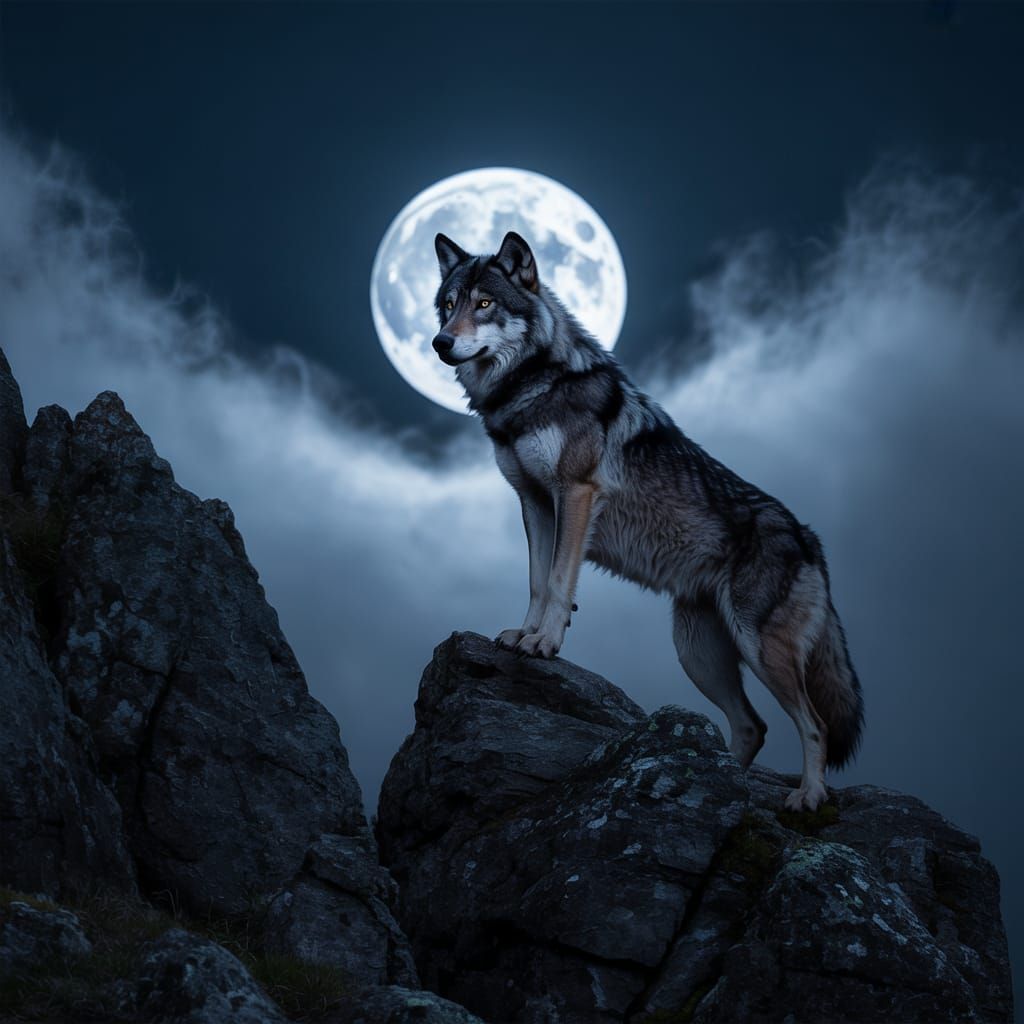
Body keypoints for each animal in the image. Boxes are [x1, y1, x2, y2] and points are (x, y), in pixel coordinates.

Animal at [431, 230, 864, 811]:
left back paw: (808, 797)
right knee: (752, 727)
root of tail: (809, 538)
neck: (531, 387)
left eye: (484, 305)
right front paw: (523, 635)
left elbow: (559, 582)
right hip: (697, 653)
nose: (440, 343)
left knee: (814, 724)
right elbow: (537, 582)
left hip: (758, 648)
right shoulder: (534, 502)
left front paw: (545, 643)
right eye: (450, 304)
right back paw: (717, 778)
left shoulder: (576, 494)